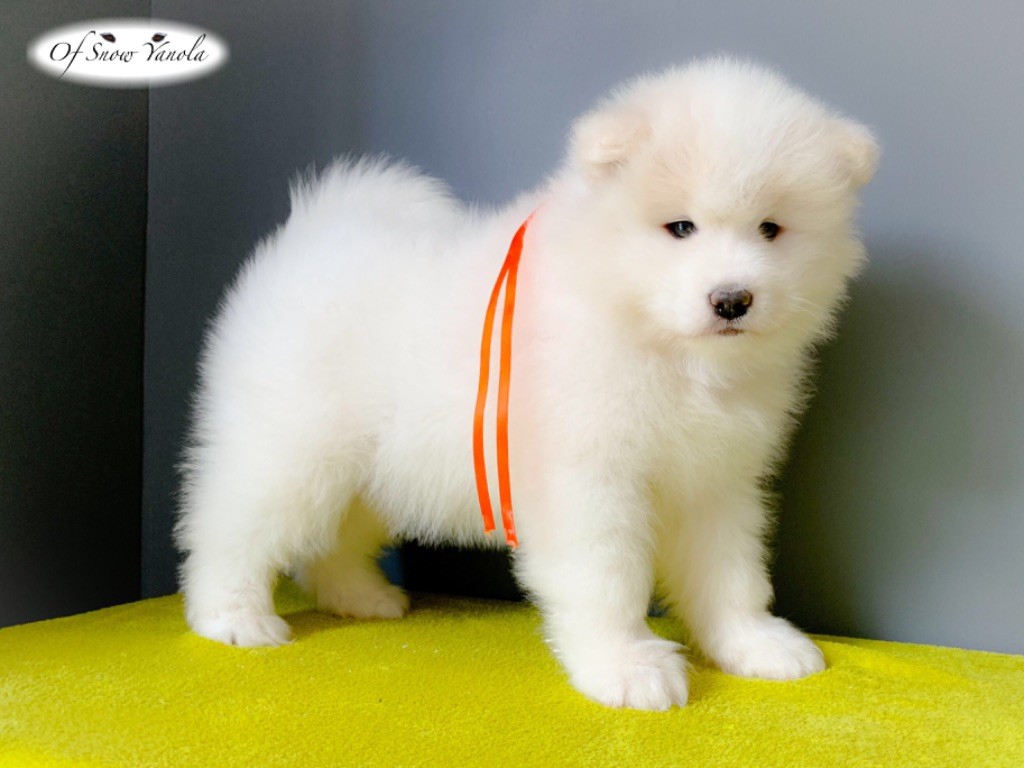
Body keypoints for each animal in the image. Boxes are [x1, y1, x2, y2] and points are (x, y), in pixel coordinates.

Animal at [175, 57, 877, 710]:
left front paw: (755, 643)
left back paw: (359, 595)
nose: (732, 299)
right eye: (681, 227)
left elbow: (730, 572)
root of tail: (315, 230)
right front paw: (626, 666)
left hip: (367, 466)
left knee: (334, 535)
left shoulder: (715, 480)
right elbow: (608, 574)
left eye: (771, 229)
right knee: (231, 522)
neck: (658, 347)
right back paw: (232, 616)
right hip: (293, 446)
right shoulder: (587, 477)